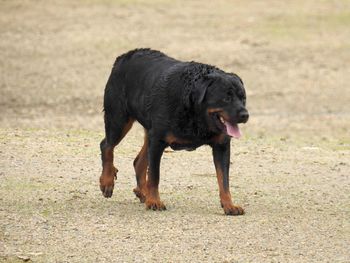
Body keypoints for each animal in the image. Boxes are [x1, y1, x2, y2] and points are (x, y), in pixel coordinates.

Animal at [99, 48, 249, 216]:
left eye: (243, 98)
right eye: (226, 98)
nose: (245, 114)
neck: (194, 112)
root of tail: (123, 56)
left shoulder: (221, 145)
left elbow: (224, 180)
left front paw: (229, 205)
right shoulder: (158, 141)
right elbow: (154, 176)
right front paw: (154, 201)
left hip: (148, 131)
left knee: (138, 161)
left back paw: (143, 192)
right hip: (119, 119)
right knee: (107, 145)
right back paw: (107, 181)